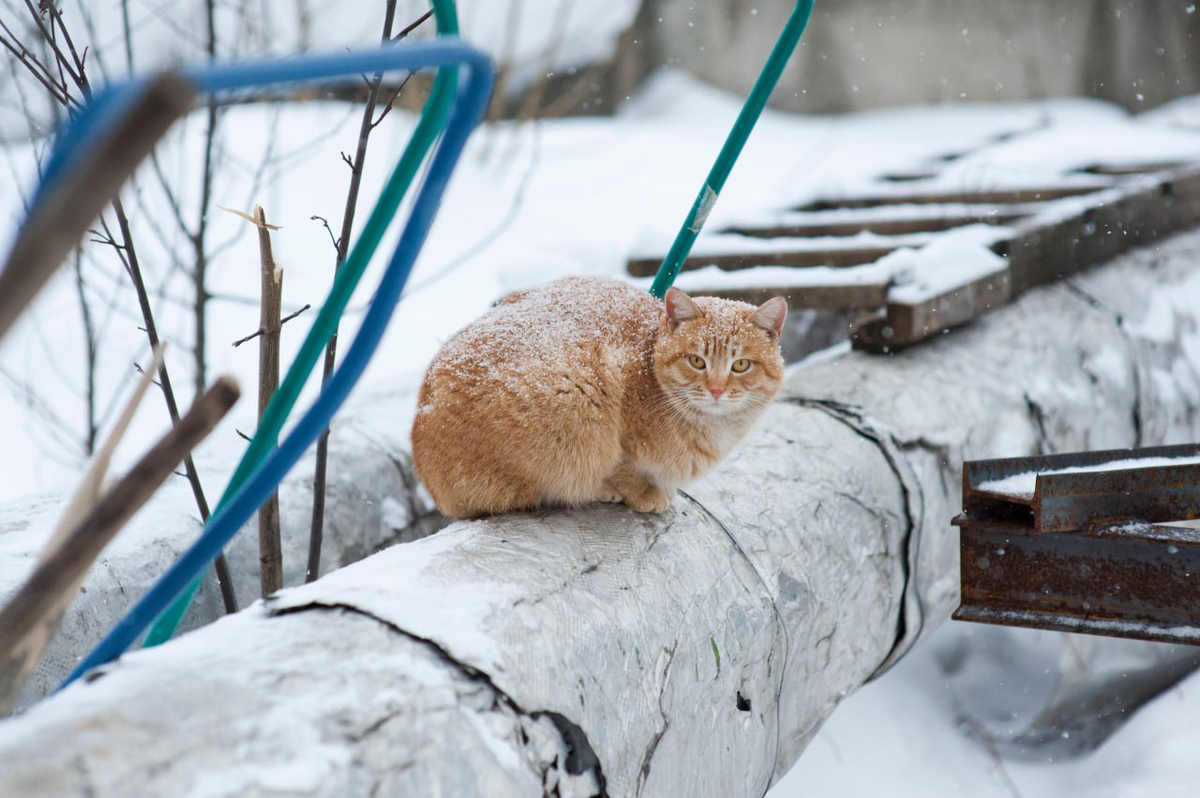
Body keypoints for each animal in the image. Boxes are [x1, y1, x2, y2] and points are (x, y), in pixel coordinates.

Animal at [412, 277, 787, 520]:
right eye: (697, 361)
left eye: (741, 365)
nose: (717, 390)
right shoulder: (612, 405)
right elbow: (624, 465)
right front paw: (639, 491)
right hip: (576, 388)